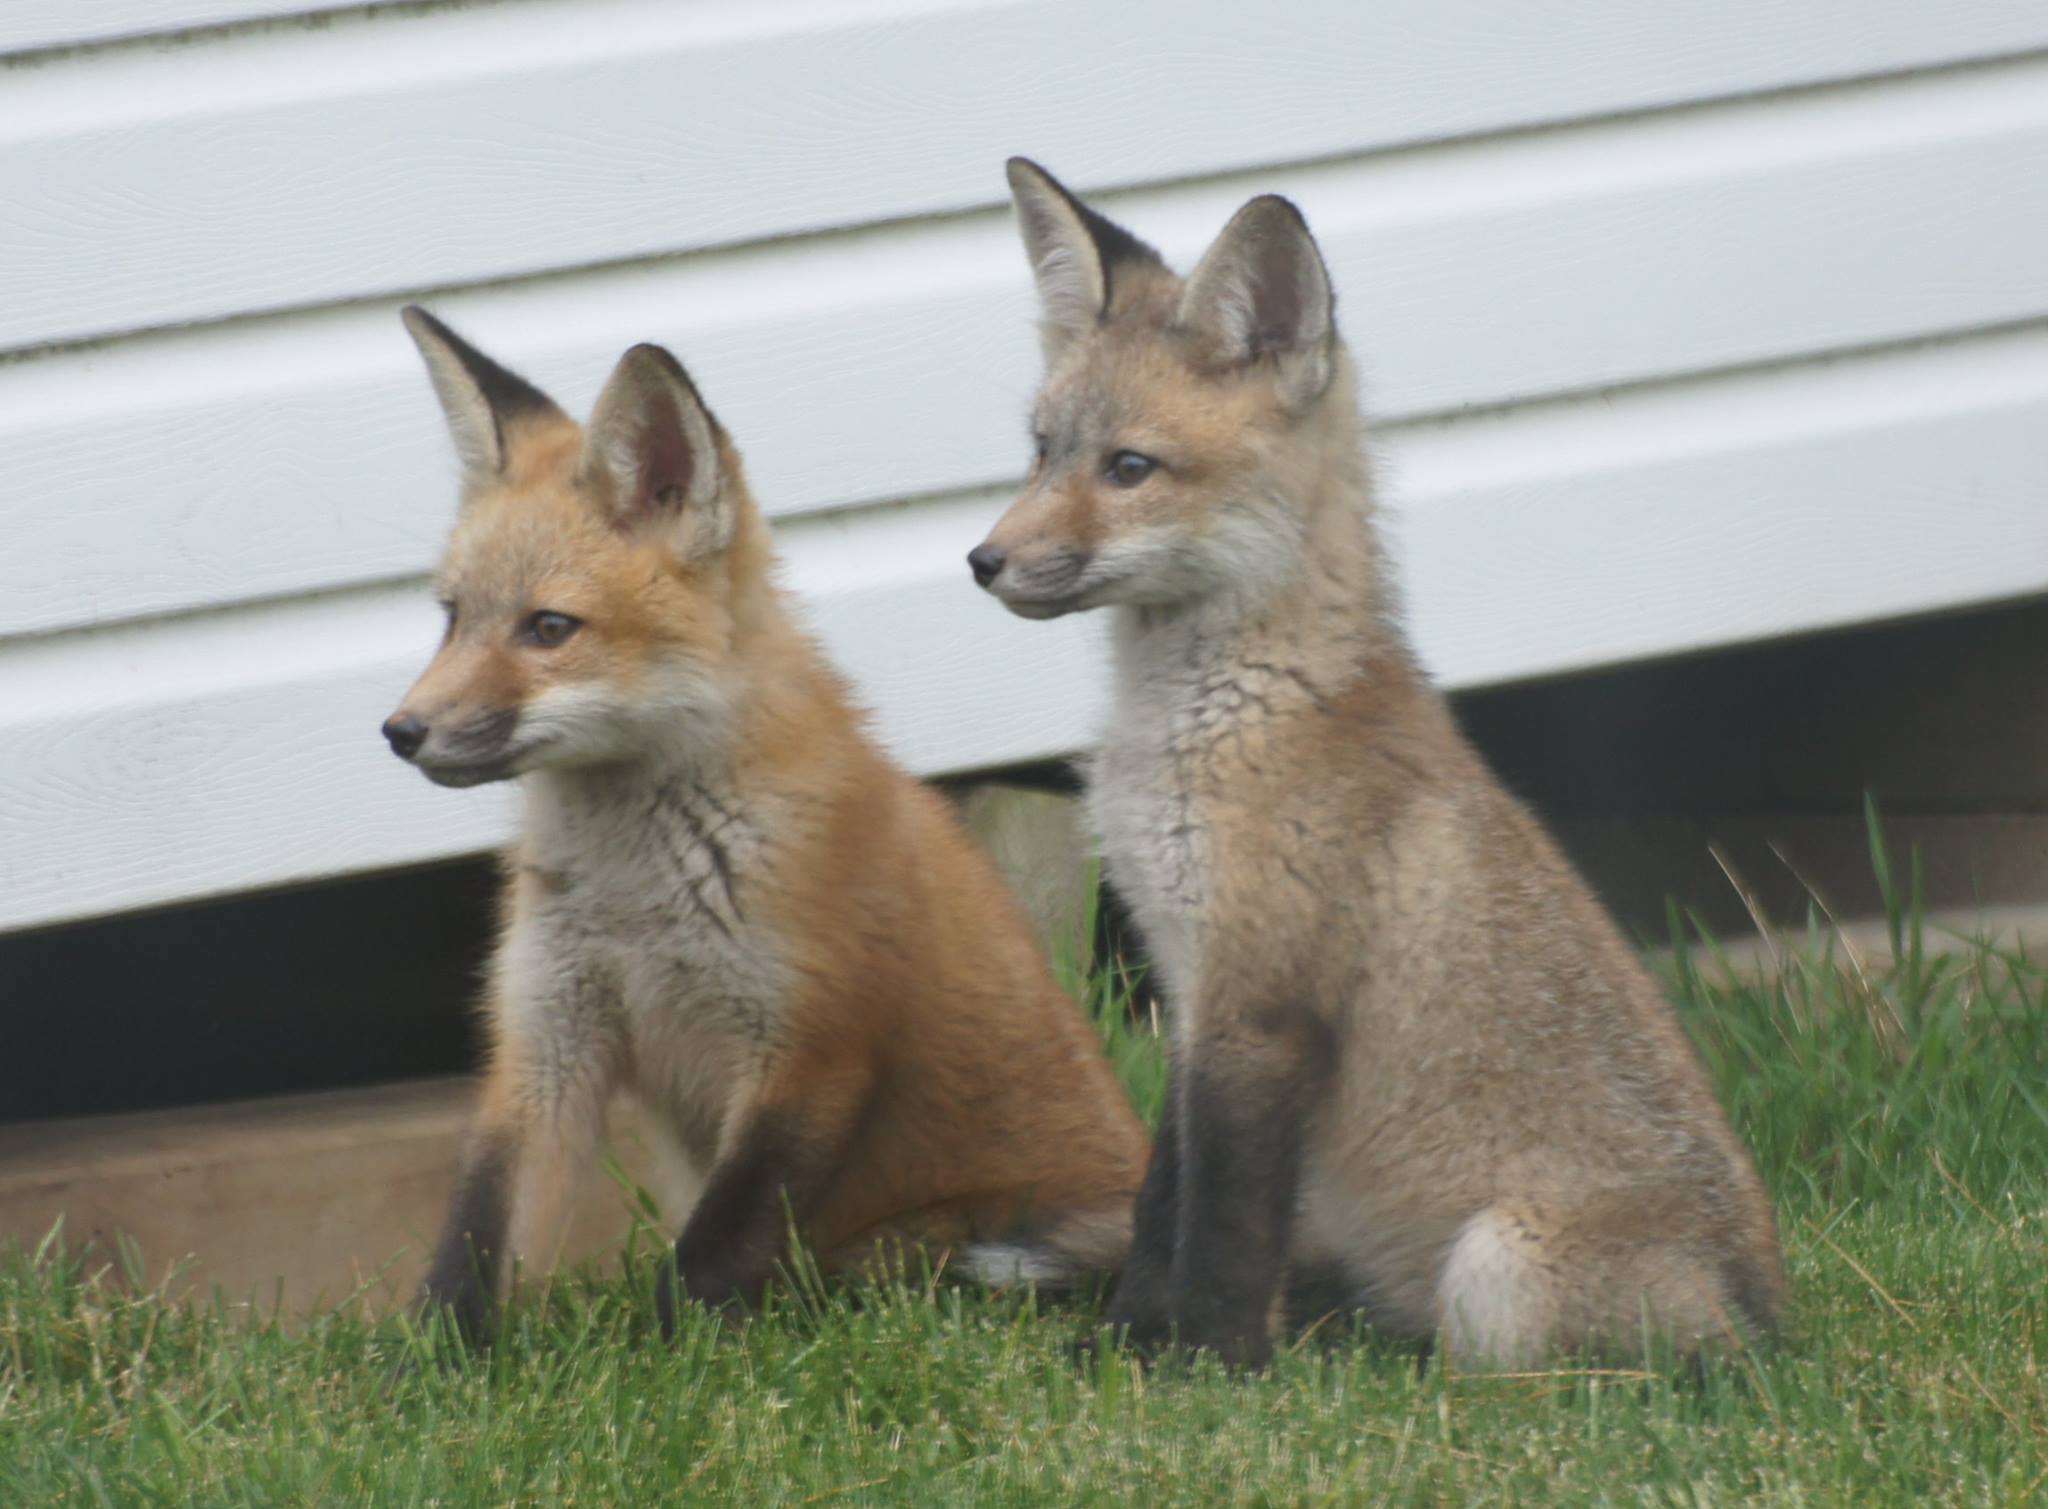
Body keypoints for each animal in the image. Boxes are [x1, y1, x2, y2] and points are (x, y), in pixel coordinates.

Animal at [385, 307, 1155, 1343]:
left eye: (548, 628)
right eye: (452, 618)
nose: (401, 731)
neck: (640, 898)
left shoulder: (812, 1049)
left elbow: (710, 1254)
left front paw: (668, 1355)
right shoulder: (547, 1037)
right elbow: (473, 1239)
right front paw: (430, 1366)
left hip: (929, 1252)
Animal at [966, 161, 1785, 1367]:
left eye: (1129, 468)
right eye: (1039, 450)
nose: (982, 560)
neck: (1209, 723)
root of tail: (1774, 1322)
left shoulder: (1263, 1003)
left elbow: (1221, 1221)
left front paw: (1207, 1363)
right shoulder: (1191, 984)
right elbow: (1165, 1200)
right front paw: (1127, 1344)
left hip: (1498, 1271)